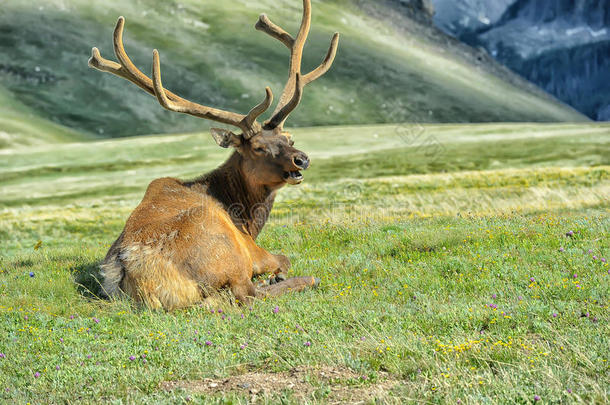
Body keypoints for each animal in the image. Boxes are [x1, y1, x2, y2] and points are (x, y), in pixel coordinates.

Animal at [88, 0, 340, 310]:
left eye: (289, 138)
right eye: (258, 147)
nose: (301, 159)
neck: (246, 218)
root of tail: (139, 275)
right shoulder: (252, 250)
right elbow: (284, 258)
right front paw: (277, 275)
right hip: (227, 254)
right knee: (248, 295)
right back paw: (300, 280)